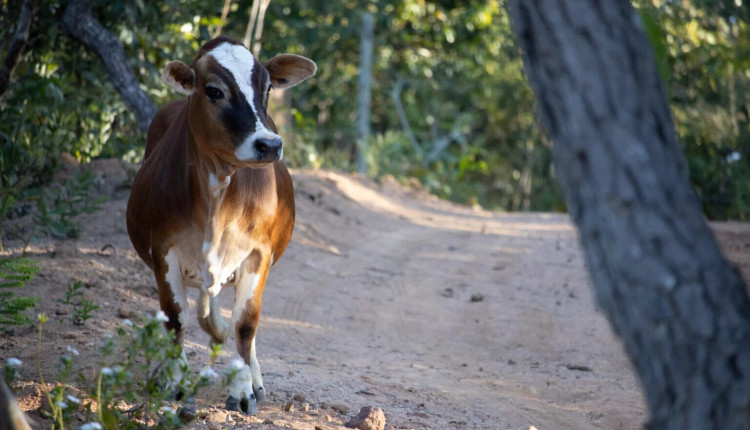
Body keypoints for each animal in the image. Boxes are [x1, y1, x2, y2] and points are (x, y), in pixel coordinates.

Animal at [128, 37, 316, 416]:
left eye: (268, 88)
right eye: (213, 90)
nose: (269, 144)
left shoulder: (258, 254)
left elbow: (245, 324)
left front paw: (243, 389)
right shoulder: (163, 249)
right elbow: (176, 318)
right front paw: (176, 381)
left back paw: (254, 378)